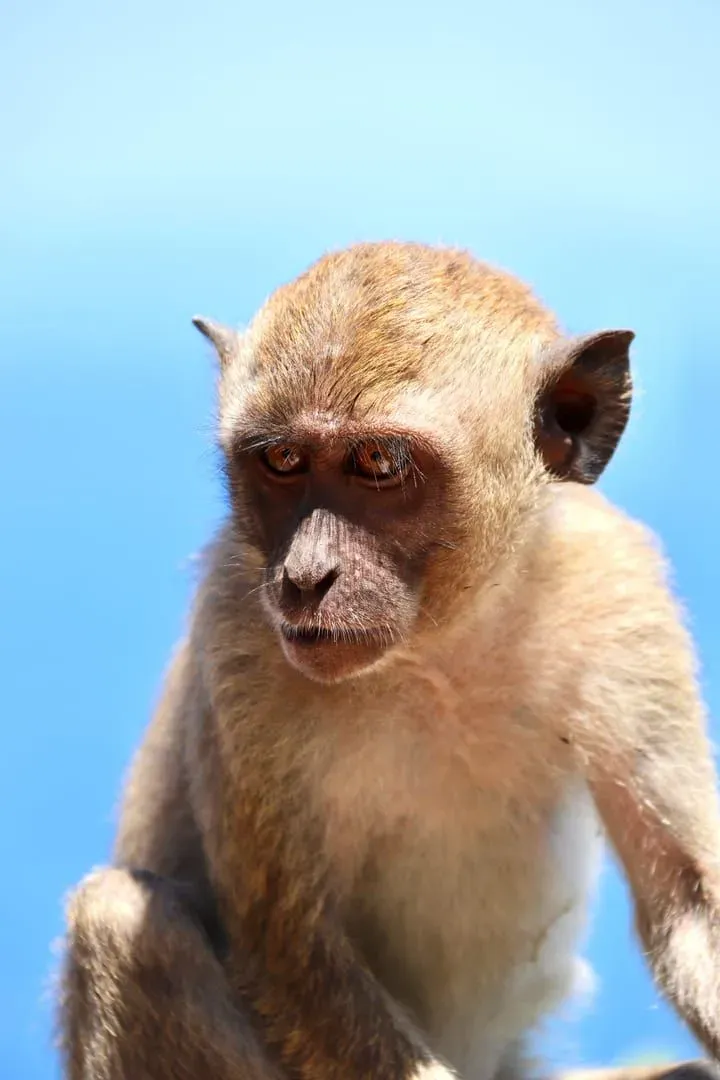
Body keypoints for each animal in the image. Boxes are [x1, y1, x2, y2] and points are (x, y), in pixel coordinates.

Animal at [59, 241, 720, 1080]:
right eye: (282, 459)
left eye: (377, 461)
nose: (305, 577)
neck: (439, 645)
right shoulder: (240, 634)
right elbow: (294, 955)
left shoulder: (621, 599)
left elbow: (687, 901)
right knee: (117, 919)